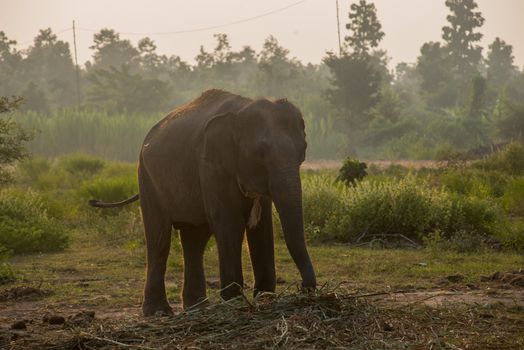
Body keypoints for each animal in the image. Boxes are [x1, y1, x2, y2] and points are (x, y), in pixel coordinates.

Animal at [89, 89, 318, 316]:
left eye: (303, 149)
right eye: (259, 153)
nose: (303, 288)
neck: (241, 110)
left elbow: (261, 227)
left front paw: (264, 299)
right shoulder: (210, 165)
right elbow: (228, 223)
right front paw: (234, 302)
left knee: (194, 240)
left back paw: (196, 306)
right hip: (146, 178)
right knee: (159, 238)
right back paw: (159, 312)